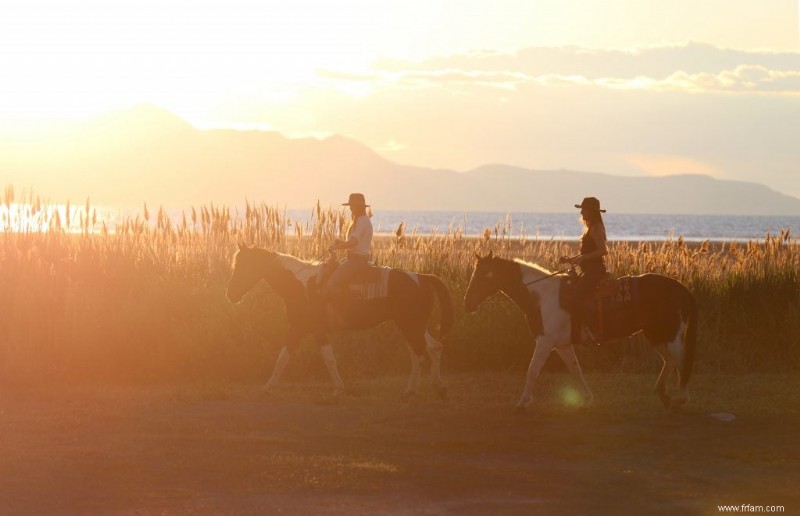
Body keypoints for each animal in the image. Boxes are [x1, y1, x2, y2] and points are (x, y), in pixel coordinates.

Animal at [227, 245, 450, 400]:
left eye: (242, 266)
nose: (230, 295)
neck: (302, 285)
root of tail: (421, 277)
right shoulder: (301, 328)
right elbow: (285, 357)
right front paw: (267, 389)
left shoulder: (308, 329)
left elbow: (324, 359)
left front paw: (337, 390)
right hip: (413, 326)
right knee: (432, 348)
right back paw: (437, 387)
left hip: (409, 325)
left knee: (420, 354)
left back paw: (411, 391)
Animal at [466, 252, 696, 410]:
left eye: (483, 276)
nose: (467, 303)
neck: (542, 297)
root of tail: (681, 289)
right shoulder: (562, 345)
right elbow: (575, 370)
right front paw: (587, 399)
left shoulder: (545, 341)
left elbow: (532, 369)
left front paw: (522, 402)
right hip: (655, 335)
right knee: (670, 361)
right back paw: (663, 394)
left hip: (670, 335)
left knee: (681, 361)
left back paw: (681, 398)